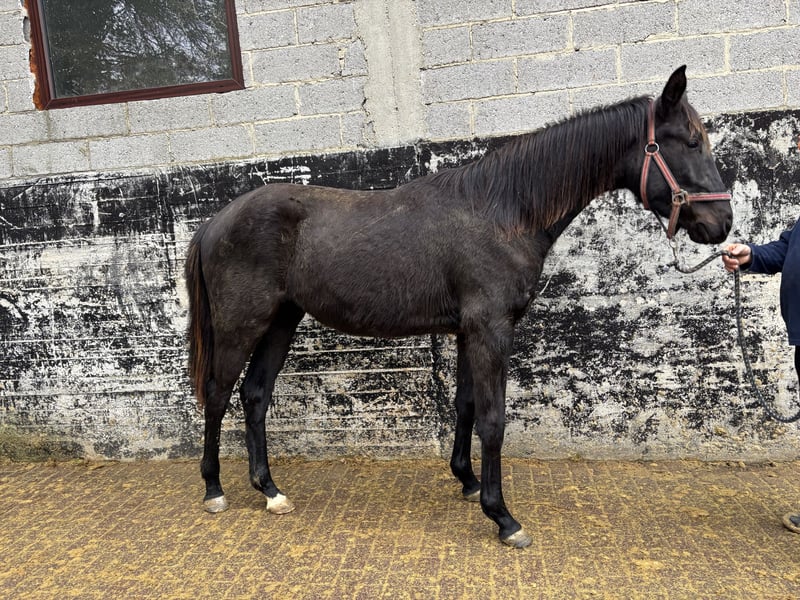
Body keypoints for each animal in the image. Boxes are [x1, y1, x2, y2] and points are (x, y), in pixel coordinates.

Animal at [184, 66, 732, 548]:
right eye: (690, 142)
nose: (722, 224)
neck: (503, 210)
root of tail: (214, 221)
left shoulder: (470, 331)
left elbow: (466, 406)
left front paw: (468, 483)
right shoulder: (490, 329)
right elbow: (493, 420)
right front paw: (503, 517)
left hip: (281, 322)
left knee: (255, 395)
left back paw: (270, 491)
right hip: (241, 325)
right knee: (218, 394)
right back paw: (213, 490)